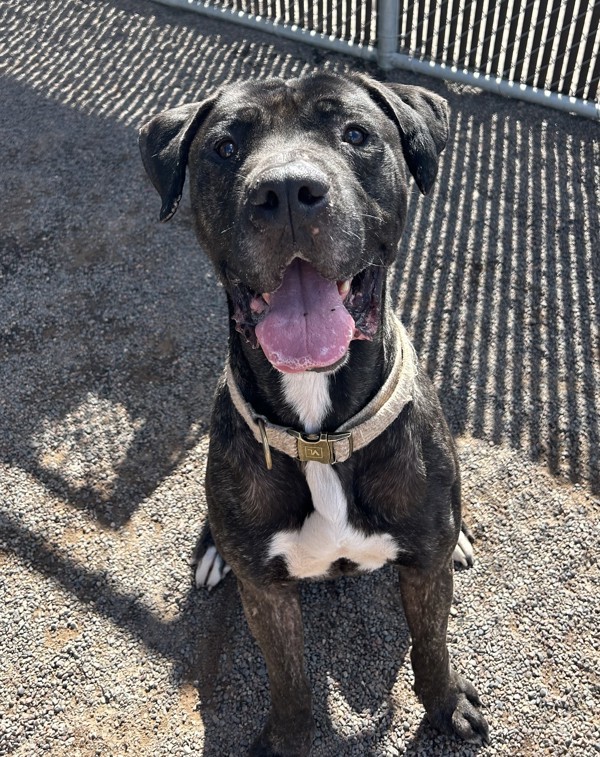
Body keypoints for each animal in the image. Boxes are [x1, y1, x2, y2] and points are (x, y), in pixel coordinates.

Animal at [139, 72, 488, 756]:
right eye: (224, 147)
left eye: (354, 133)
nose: (286, 191)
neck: (320, 433)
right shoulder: (268, 594)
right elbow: (290, 678)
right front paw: (286, 737)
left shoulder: (424, 569)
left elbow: (430, 646)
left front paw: (446, 705)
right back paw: (213, 553)